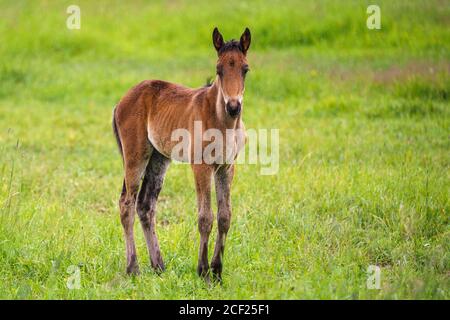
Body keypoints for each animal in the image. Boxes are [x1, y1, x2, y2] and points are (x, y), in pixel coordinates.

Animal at [112, 28, 250, 282]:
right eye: (219, 69)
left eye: (245, 69)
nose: (233, 107)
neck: (222, 120)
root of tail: (122, 100)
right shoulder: (201, 165)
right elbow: (205, 217)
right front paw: (203, 271)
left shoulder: (226, 166)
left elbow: (225, 216)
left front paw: (217, 271)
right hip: (136, 156)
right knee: (127, 203)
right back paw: (133, 268)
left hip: (159, 159)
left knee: (146, 204)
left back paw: (159, 266)